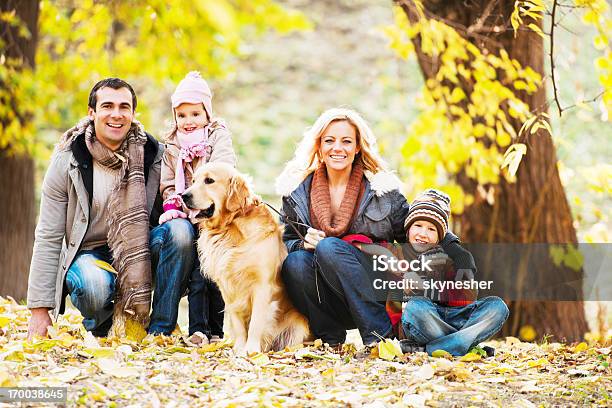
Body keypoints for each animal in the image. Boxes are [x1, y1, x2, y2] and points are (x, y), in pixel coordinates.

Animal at [179, 163, 308, 354]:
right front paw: (240, 348)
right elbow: (238, 322)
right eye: (193, 181)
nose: (183, 196)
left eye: (209, 181)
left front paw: (251, 350)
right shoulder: (227, 287)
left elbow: (256, 322)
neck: (231, 227)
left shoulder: (262, 285)